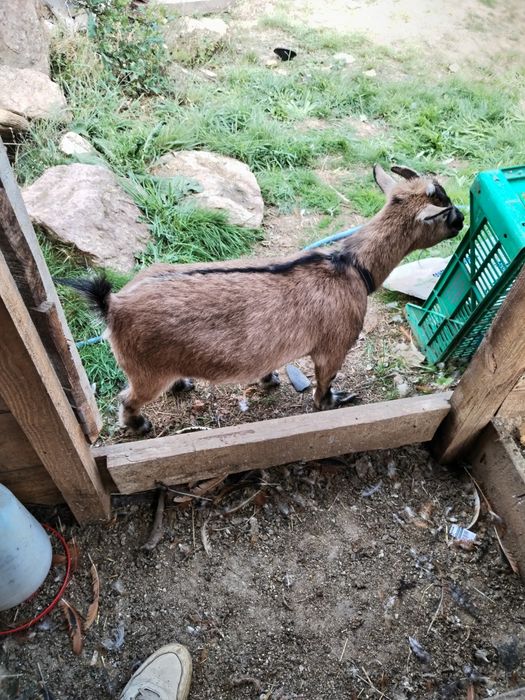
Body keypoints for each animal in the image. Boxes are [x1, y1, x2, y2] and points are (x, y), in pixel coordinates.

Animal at [62, 165, 464, 434]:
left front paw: (268, 380)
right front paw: (333, 401)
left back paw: (182, 384)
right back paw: (140, 424)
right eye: (444, 207)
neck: (350, 265)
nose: (461, 218)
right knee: (127, 399)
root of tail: (114, 305)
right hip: (146, 372)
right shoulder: (334, 346)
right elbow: (324, 384)